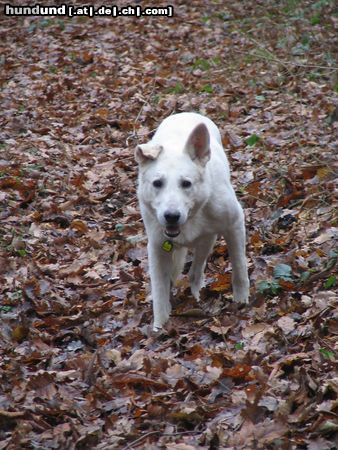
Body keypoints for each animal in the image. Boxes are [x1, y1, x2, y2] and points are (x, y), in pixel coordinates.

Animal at [135, 112, 248, 330]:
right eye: (157, 183)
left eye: (186, 183)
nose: (171, 216)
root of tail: (185, 113)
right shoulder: (157, 246)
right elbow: (160, 292)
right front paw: (159, 328)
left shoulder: (234, 224)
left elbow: (239, 268)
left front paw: (241, 302)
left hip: (208, 240)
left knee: (196, 272)